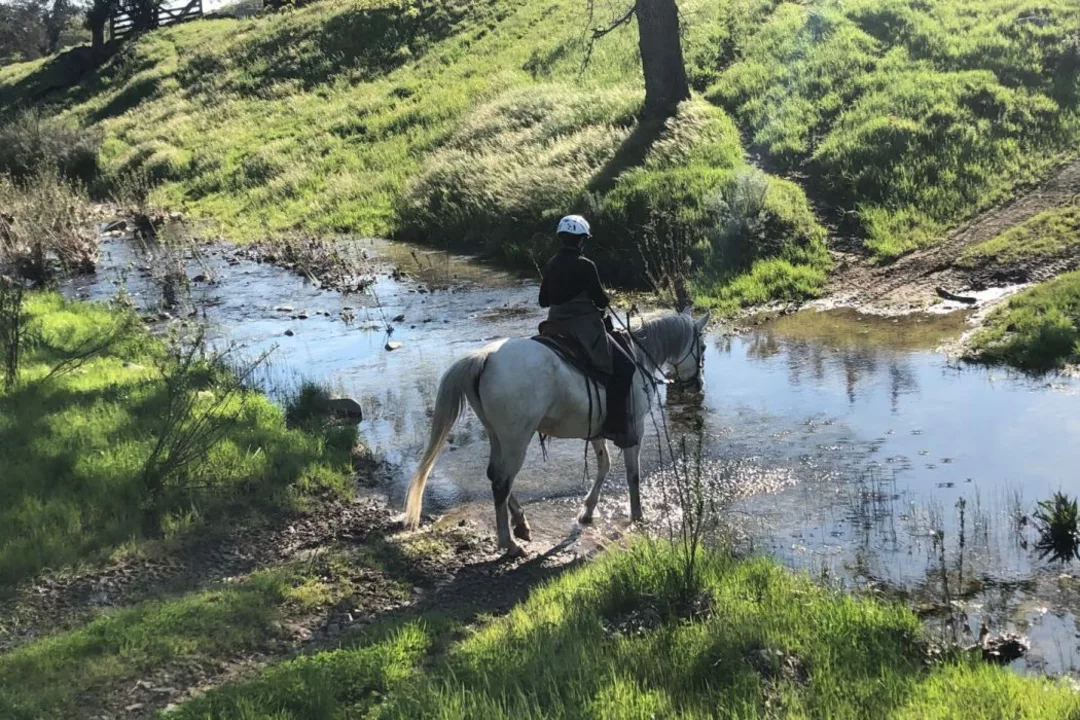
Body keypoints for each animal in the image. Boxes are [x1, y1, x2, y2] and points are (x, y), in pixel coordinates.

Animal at [401, 310, 712, 557]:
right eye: (704, 347)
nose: (698, 384)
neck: (636, 355)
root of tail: (485, 358)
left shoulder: (596, 429)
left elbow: (604, 465)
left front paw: (587, 512)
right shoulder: (635, 428)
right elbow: (632, 475)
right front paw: (637, 515)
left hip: (496, 435)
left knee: (496, 475)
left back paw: (521, 525)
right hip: (517, 439)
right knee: (502, 481)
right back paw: (509, 543)